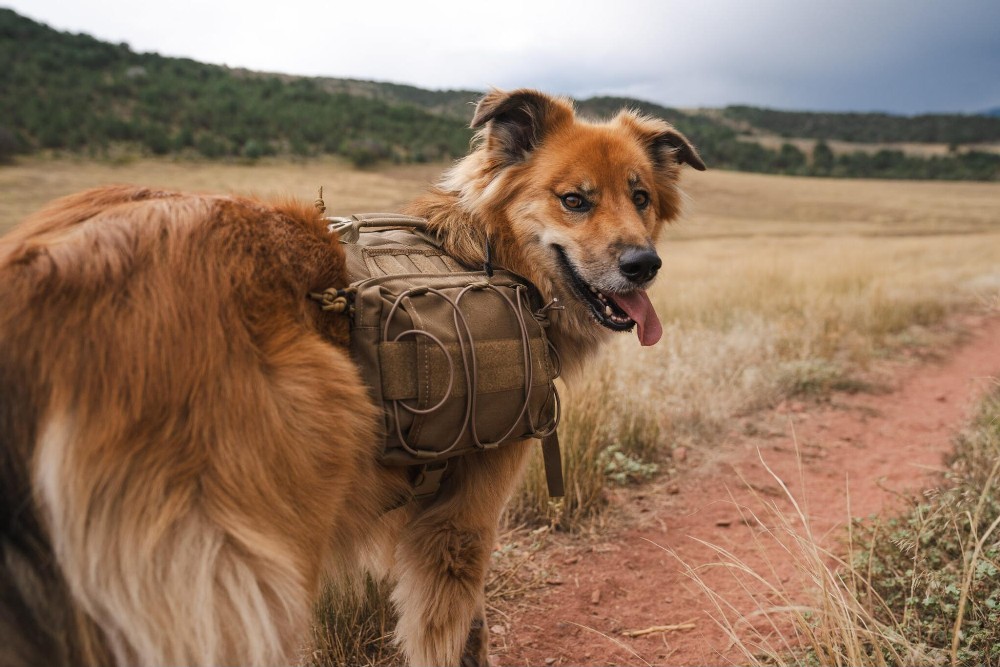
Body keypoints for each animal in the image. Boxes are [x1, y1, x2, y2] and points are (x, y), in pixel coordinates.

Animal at [0, 88, 704, 667]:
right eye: (574, 200)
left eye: (641, 197)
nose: (644, 265)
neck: (488, 254)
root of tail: (43, 271)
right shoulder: (460, 523)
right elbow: (456, 636)